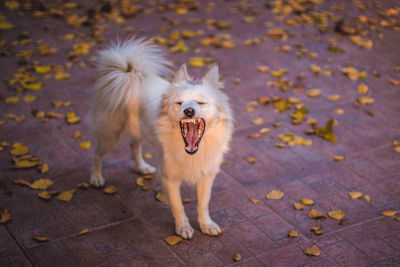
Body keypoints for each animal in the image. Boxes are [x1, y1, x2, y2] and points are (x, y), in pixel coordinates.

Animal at [87, 38, 231, 240]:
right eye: (179, 103)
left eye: (201, 102)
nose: (189, 110)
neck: (192, 150)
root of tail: (129, 74)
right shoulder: (170, 178)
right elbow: (178, 206)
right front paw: (183, 228)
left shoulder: (206, 176)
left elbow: (203, 204)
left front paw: (206, 225)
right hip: (111, 133)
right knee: (97, 154)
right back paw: (96, 178)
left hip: (138, 130)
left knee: (134, 146)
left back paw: (142, 167)